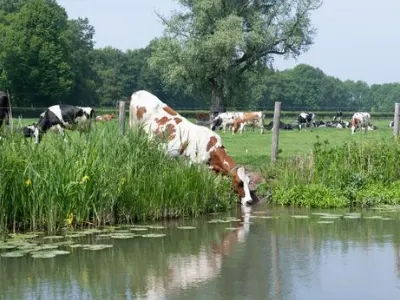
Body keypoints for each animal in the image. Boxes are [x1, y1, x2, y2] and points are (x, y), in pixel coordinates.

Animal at [130, 90, 258, 205]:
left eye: (248, 182)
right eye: (239, 183)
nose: (249, 201)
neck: (211, 149)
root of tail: (138, 92)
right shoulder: (191, 164)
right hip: (135, 130)